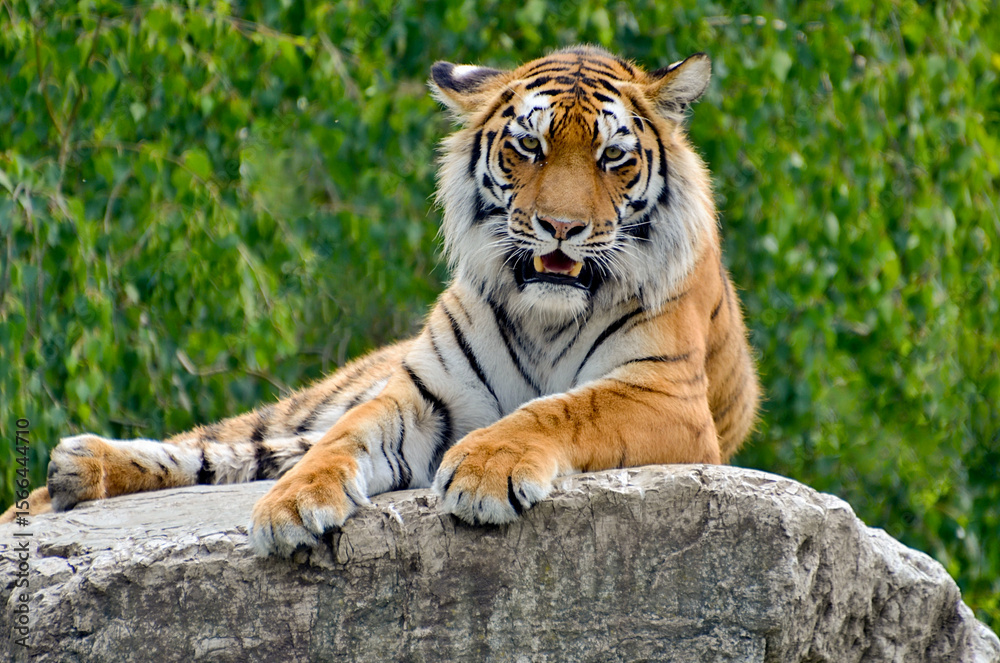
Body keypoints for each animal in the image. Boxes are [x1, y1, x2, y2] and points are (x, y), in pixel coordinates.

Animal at [2, 46, 759, 558]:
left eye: (612, 158)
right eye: (528, 147)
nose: (562, 227)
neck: (546, 314)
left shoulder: (664, 395)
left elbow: (561, 409)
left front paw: (486, 467)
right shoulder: (425, 392)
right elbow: (345, 439)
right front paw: (292, 506)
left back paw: (73, 472)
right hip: (306, 403)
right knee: (231, 444)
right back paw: (65, 476)